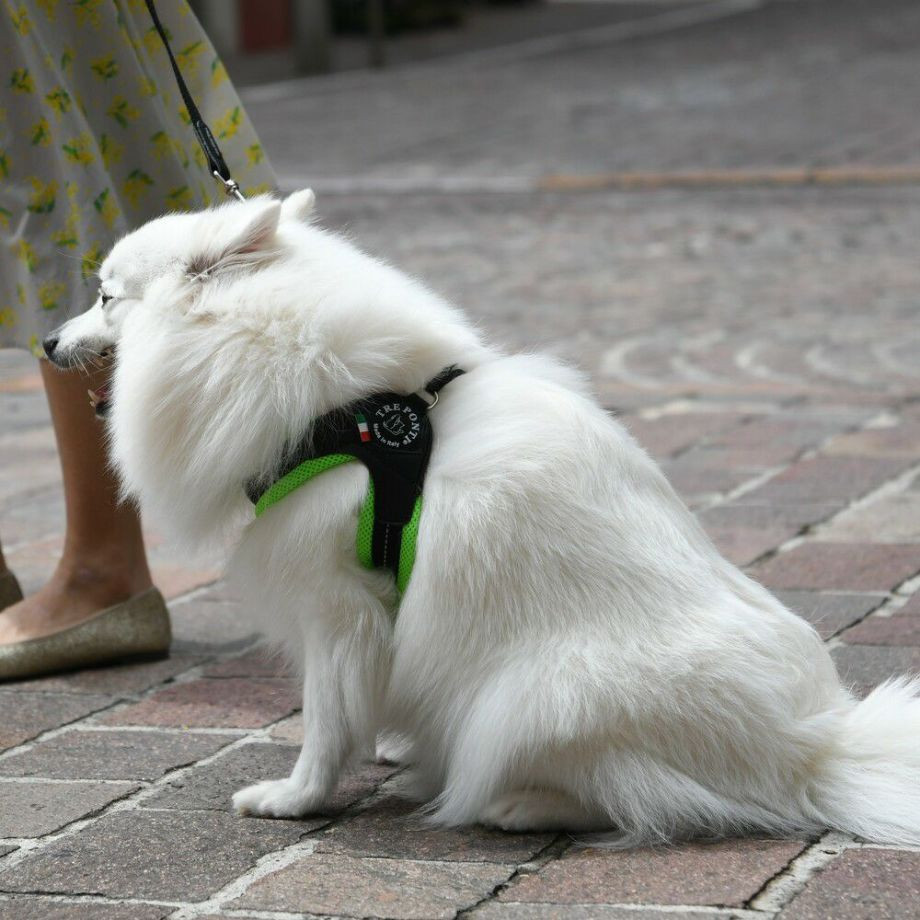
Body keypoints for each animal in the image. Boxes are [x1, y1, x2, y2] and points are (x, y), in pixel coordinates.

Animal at [46, 194, 920, 848]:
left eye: (105, 295)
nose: (46, 340)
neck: (345, 410)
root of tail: (811, 751)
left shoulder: (336, 607)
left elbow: (326, 724)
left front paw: (294, 799)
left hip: (533, 698)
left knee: (650, 801)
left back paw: (516, 805)